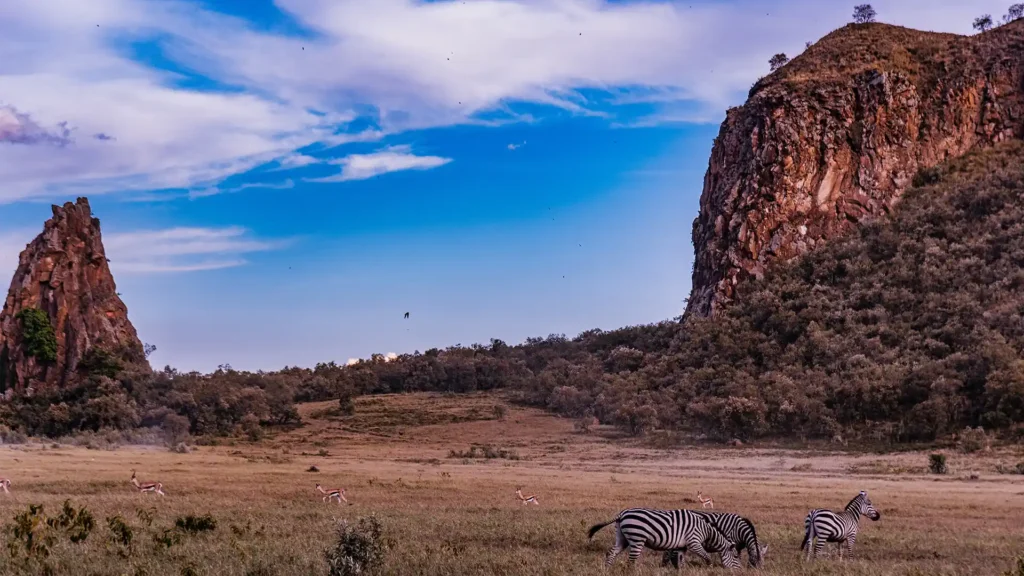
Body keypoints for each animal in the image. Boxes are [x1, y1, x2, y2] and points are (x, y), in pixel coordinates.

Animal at [589, 504, 741, 565]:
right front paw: (708, 567)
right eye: (735, 557)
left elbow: (680, 561)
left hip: (622, 538)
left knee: (611, 553)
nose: (736, 572)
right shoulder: (694, 542)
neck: (705, 530)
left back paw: (607, 569)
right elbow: (707, 557)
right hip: (637, 538)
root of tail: (622, 514)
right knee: (631, 560)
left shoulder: (681, 546)